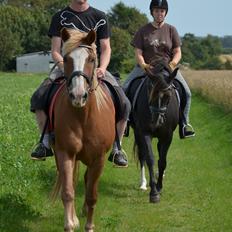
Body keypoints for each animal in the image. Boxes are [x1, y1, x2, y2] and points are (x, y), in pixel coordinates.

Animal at [51, 28, 115, 231]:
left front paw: (89, 226)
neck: (83, 117)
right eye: (66, 58)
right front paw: (70, 224)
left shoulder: (99, 159)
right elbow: (68, 192)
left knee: (87, 182)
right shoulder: (65, 153)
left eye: (92, 59)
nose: (78, 95)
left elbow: (92, 195)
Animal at [127, 61, 179, 203]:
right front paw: (154, 193)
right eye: (150, 92)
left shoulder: (167, 136)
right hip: (138, 133)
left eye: (168, 96)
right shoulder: (145, 133)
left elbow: (162, 161)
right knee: (142, 156)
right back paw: (144, 183)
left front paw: (159, 186)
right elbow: (150, 159)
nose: (157, 122)